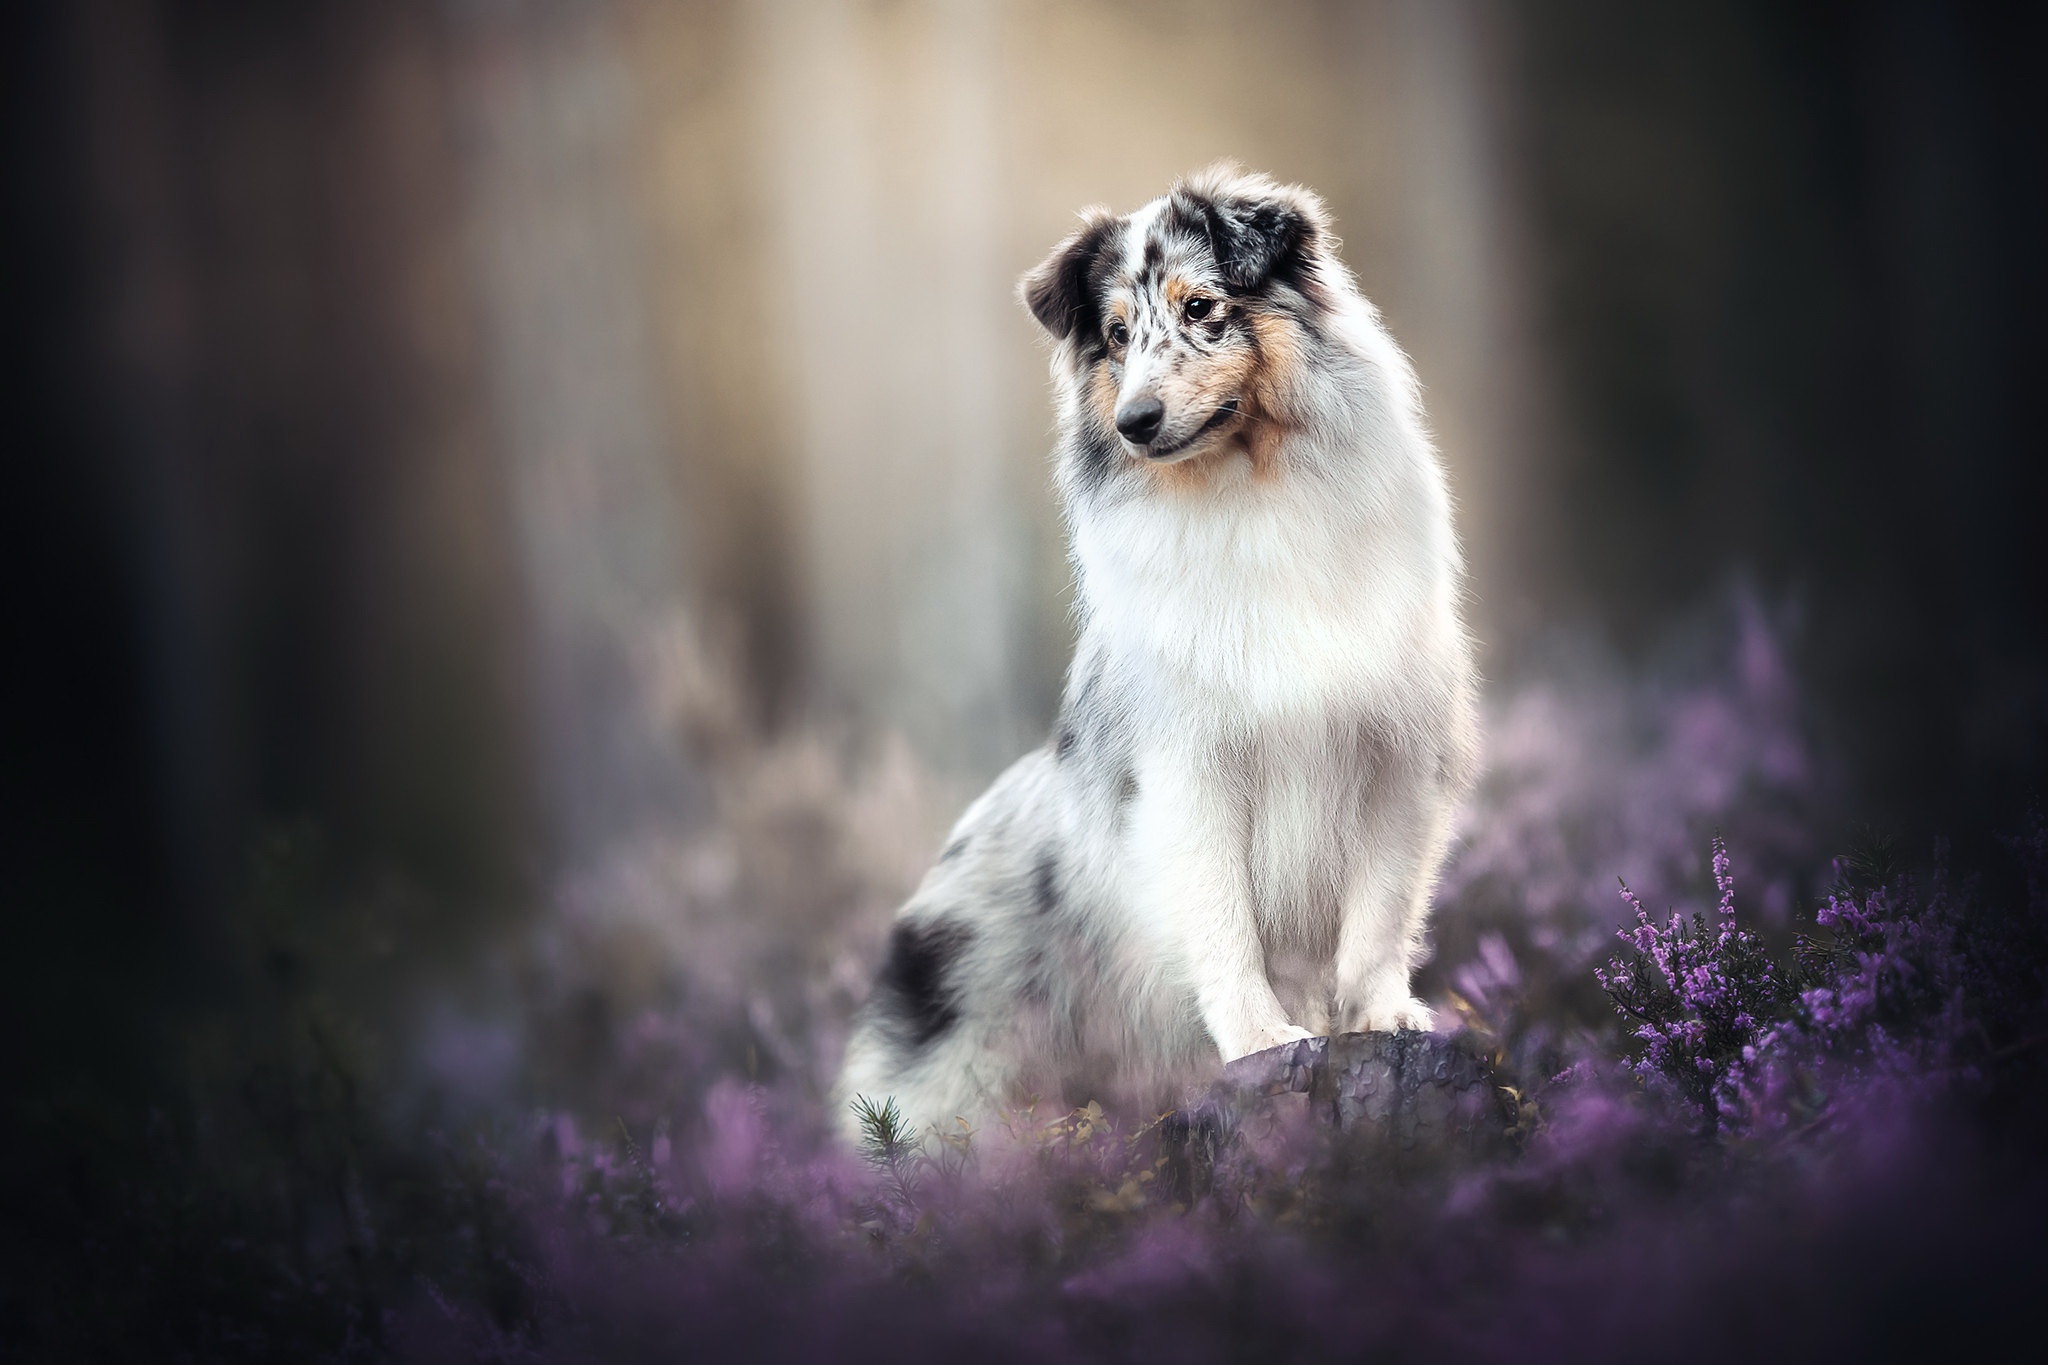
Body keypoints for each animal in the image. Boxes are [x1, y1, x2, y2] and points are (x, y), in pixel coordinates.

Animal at [839, 162, 1482, 1146]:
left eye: (1203, 307)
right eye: (1113, 334)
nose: (1137, 421)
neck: (1249, 494)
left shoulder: (1391, 755)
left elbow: (1376, 915)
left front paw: (1383, 1016)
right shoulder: (1190, 769)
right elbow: (1224, 921)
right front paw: (1263, 1037)